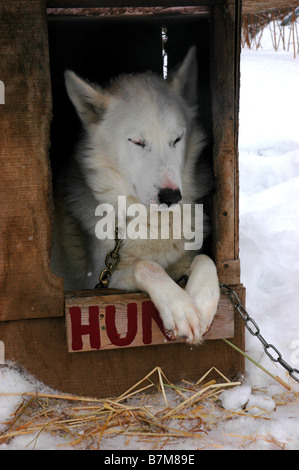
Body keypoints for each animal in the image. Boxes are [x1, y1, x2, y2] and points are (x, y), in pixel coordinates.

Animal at [51, 46, 220, 344]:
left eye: (177, 139)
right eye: (137, 142)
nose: (171, 196)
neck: (152, 221)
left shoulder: (190, 256)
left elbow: (206, 259)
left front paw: (200, 301)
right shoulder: (100, 281)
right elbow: (147, 266)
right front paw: (180, 307)